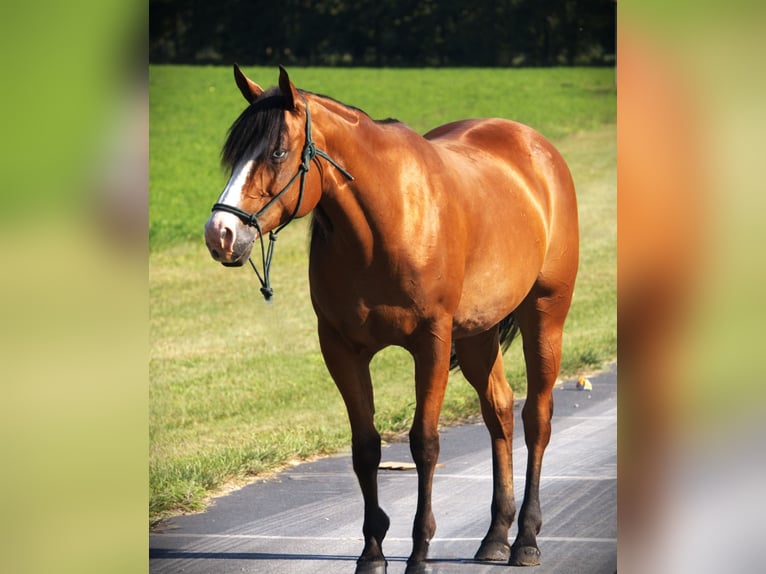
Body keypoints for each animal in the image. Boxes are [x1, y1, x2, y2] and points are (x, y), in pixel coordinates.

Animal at [204, 65, 579, 573]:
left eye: (277, 151)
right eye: (234, 155)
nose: (220, 234)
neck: (387, 222)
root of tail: (537, 147)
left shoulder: (432, 343)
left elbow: (425, 443)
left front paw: (419, 553)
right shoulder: (341, 349)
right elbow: (365, 448)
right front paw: (372, 551)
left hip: (545, 314)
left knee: (536, 417)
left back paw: (525, 540)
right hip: (478, 335)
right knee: (498, 411)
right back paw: (495, 536)